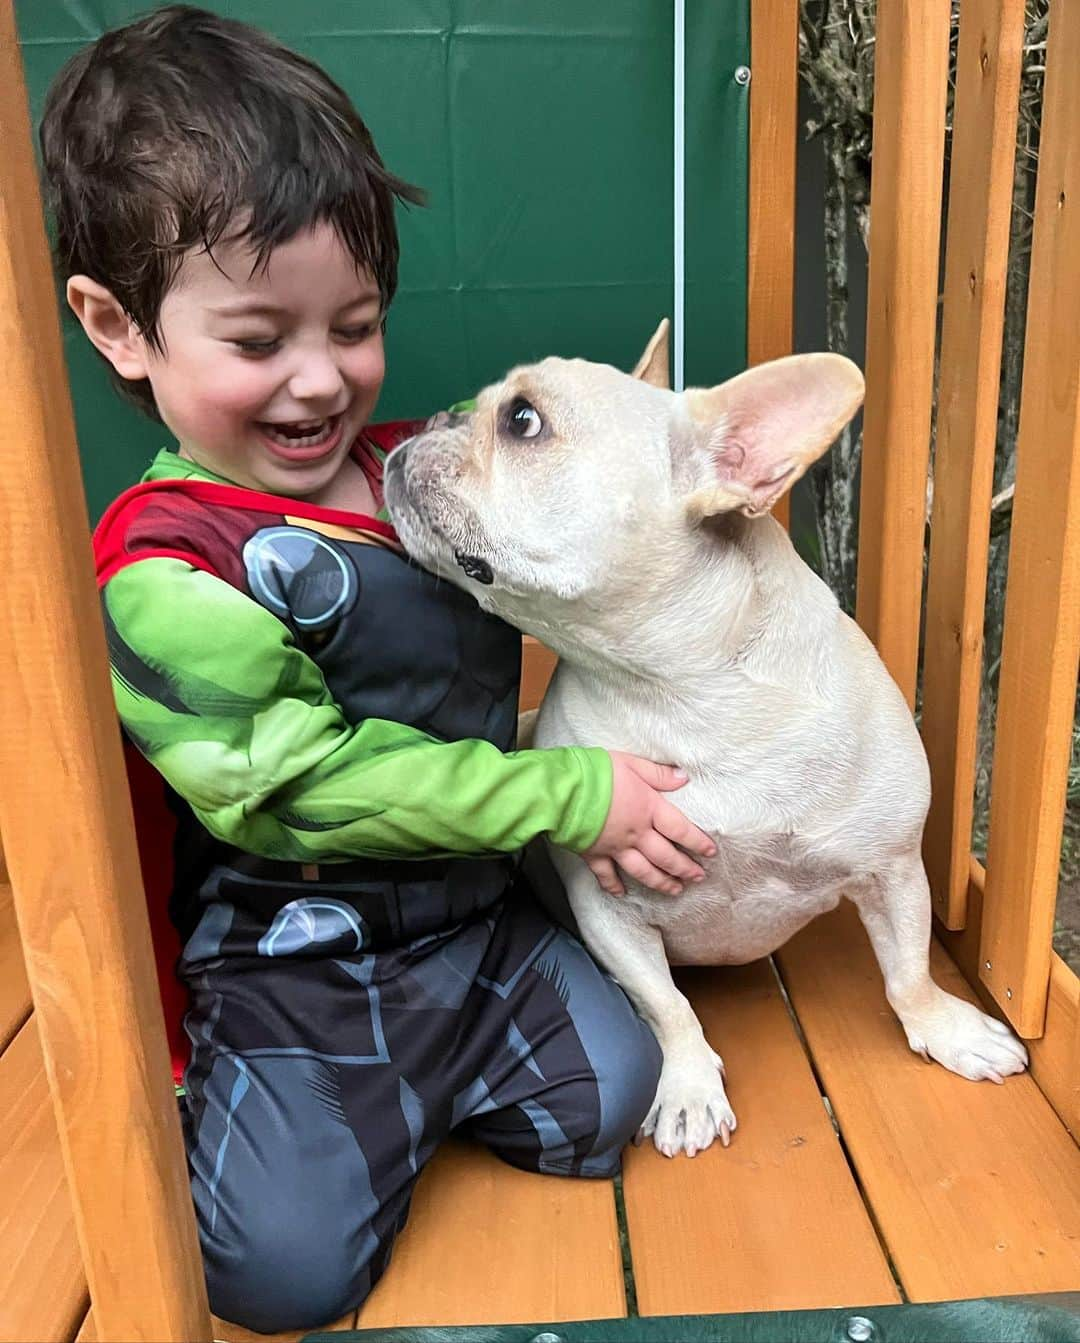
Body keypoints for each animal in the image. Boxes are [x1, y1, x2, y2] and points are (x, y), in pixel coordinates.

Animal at [381, 322, 1031, 1154]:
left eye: (522, 419)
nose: (435, 418)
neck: (686, 693)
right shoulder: (611, 911)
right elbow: (668, 1007)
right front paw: (688, 1086)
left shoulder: (893, 866)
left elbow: (908, 968)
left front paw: (945, 1029)